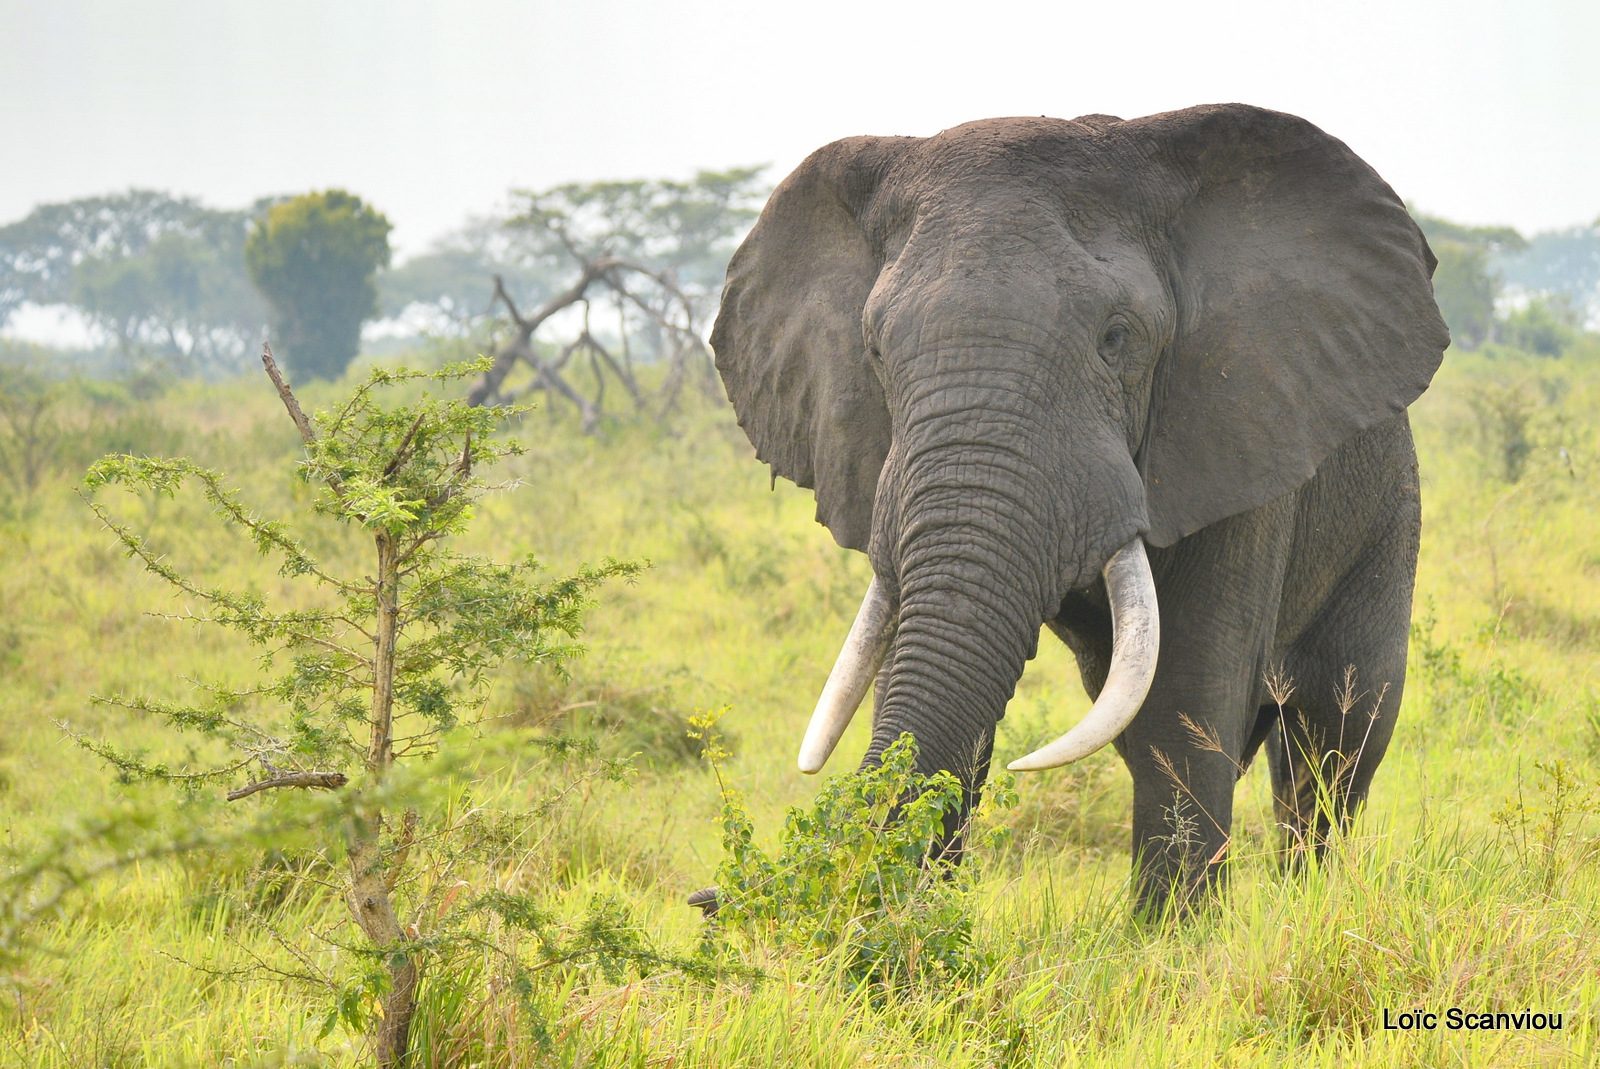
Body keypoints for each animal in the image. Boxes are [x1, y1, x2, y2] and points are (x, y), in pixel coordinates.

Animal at [710, 104, 1452, 915]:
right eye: (873, 350)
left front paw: (1173, 936)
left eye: (1116, 338)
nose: (707, 897)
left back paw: (1309, 903)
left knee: (1335, 742)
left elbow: (1186, 692)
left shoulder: (1239, 429)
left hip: (1387, 514)